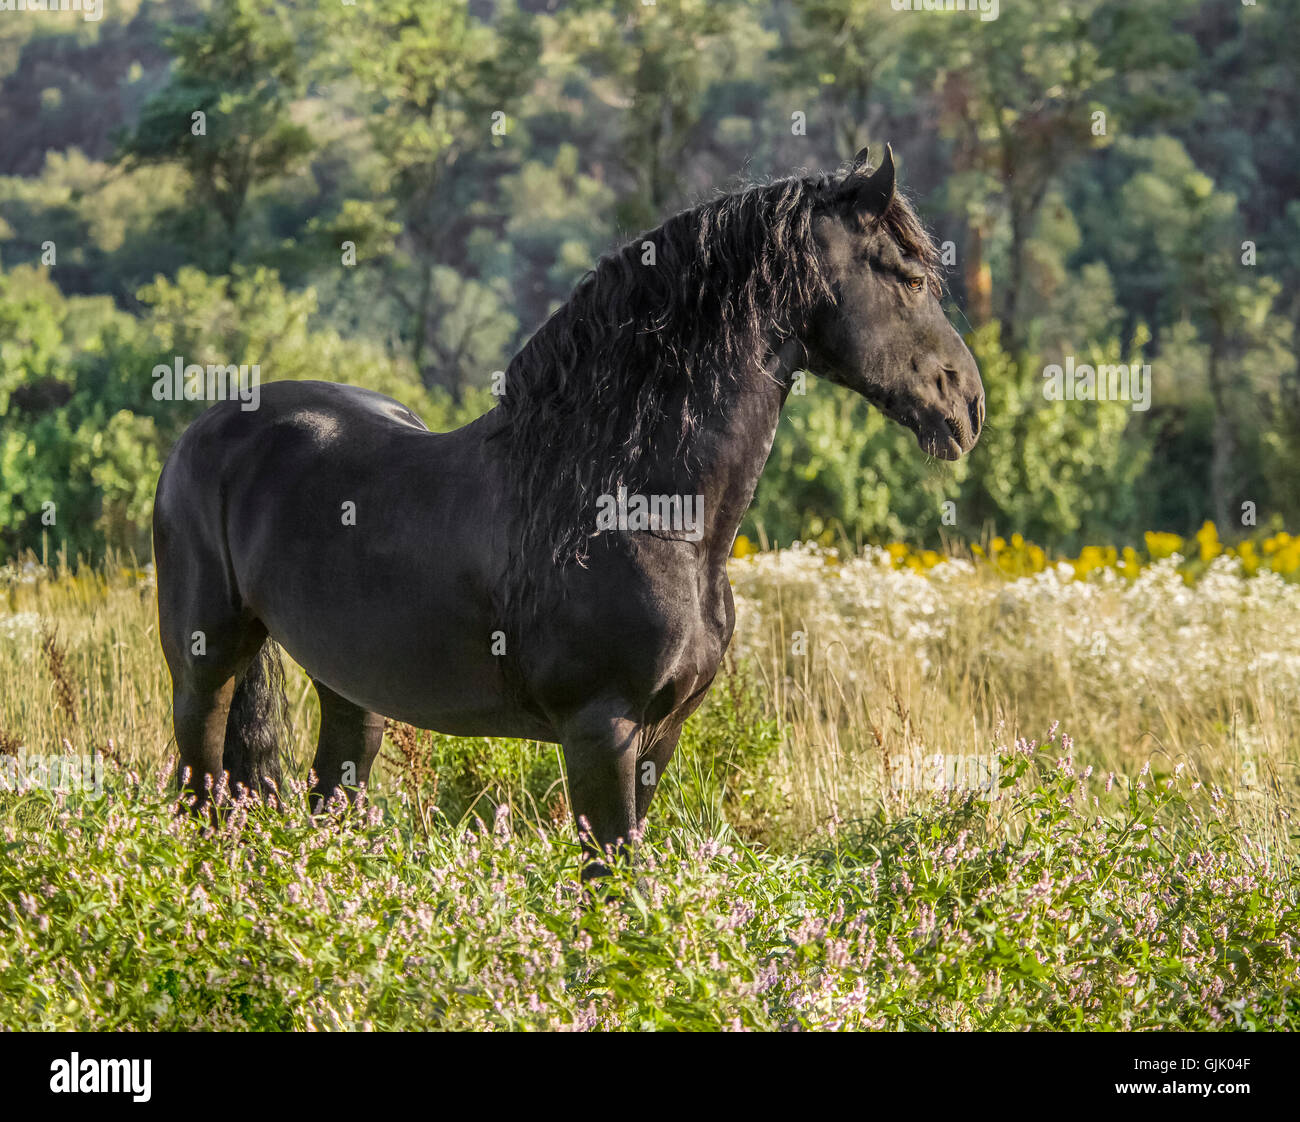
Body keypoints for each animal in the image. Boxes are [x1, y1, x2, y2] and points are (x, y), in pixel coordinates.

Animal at [153, 146, 984, 876]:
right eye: (910, 277)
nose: (967, 405)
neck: (639, 506)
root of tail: (206, 430)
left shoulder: (658, 737)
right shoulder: (599, 732)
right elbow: (613, 883)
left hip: (352, 692)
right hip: (204, 671)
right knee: (202, 798)